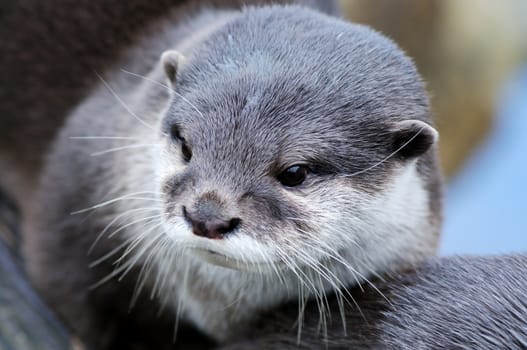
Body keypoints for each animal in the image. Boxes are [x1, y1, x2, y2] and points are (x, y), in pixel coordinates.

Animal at [3, 1, 446, 348]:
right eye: (185, 145)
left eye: (295, 172)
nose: (207, 217)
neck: (212, 306)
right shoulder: (72, 201)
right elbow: (67, 290)